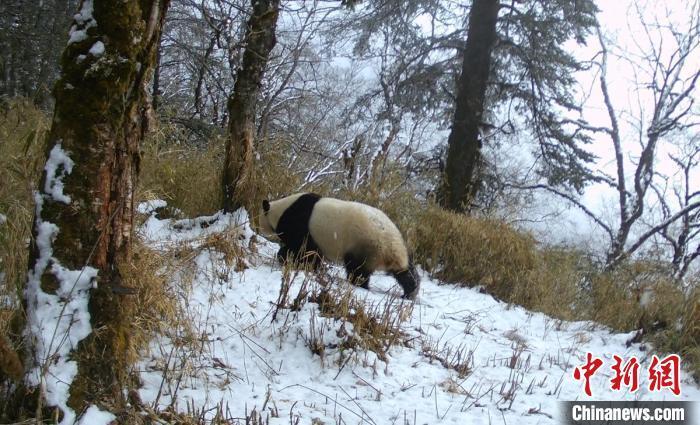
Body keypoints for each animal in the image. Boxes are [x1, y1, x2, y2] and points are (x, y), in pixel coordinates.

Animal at [258, 192, 418, 298]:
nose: (258, 228)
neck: (281, 210)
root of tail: (392, 248)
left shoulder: (299, 224)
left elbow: (302, 249)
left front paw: (286, 259)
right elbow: (312, 253)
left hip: (365, 244)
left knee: (358, 269)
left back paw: (359, 284)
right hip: (396, 248)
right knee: (405, 272)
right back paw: (410, 292)